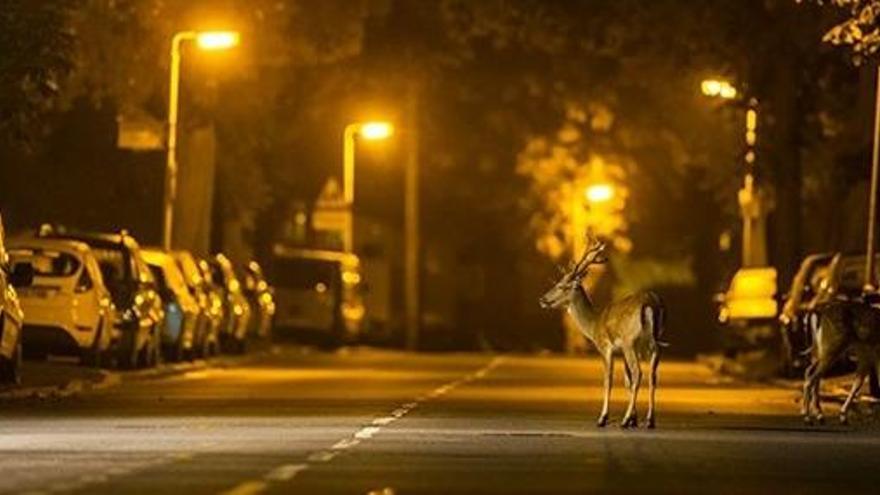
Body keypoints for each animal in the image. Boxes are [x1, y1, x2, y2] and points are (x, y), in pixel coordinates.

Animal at [536, 234, 668, 428]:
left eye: (562, 286)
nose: (542, 299)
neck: (594, 324)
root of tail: (650, 303)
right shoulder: (622, 351)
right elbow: (627, 380)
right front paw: (634, 419)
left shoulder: (606, 346)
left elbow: (608, 380)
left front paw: (604, 418)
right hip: (654, 343)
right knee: (652, 376)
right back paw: (649, 420)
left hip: (630, 341)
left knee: (639, 373)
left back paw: (625, 420)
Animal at [804, 298, 880, 426]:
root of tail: (818, 312)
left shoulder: (868, 356)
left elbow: (858, 383)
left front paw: (843, 415)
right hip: (833, 346)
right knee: (811, 378)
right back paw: (807, 417)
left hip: (819, 349)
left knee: (809, 371)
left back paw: (820, 415)